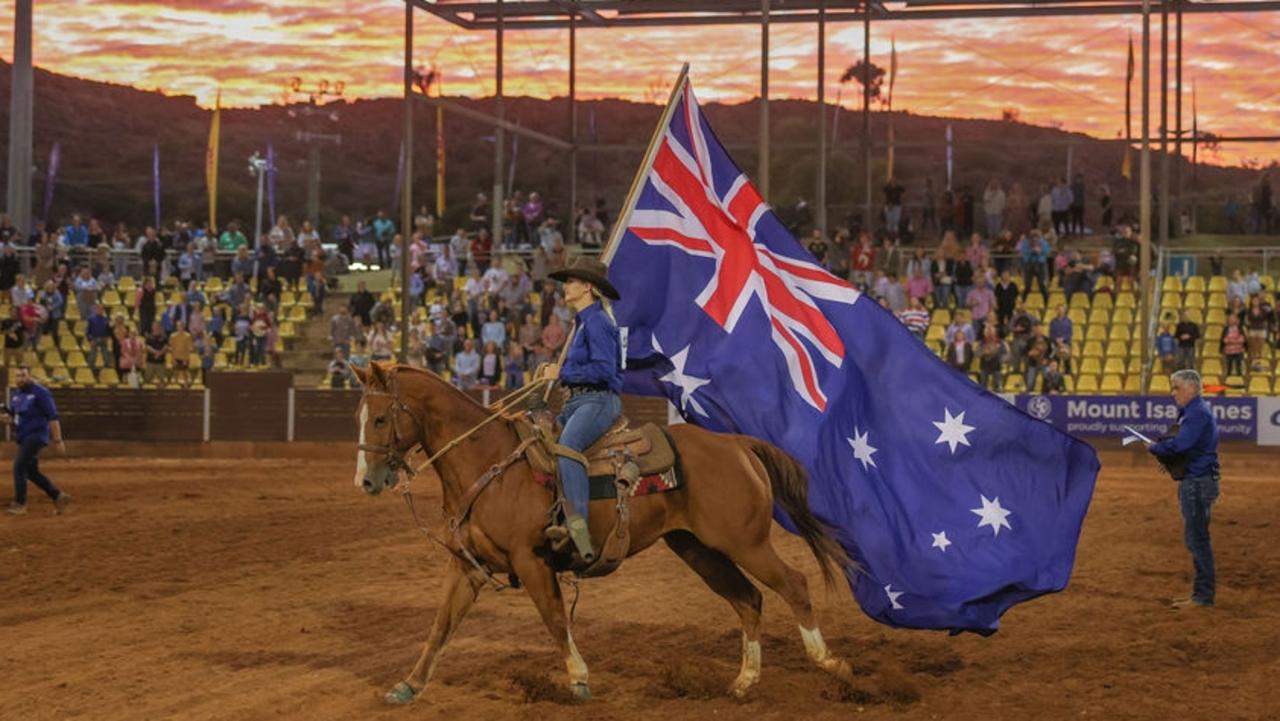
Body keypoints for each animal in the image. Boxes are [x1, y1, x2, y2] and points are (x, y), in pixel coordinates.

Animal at [348, 363, 860, 701]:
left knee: (794, 584)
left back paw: (831, 664)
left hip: (746, 542)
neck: (487, 463)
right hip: (698, 549)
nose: (367, 481)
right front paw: (409, 685)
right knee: (748, 599)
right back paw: (744, 681)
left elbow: (555, 619)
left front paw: (578, 677)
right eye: (360, 417)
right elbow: (440, 625)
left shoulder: (532, 561)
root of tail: (734, 442)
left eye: (380, 418)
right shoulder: (467, 567)